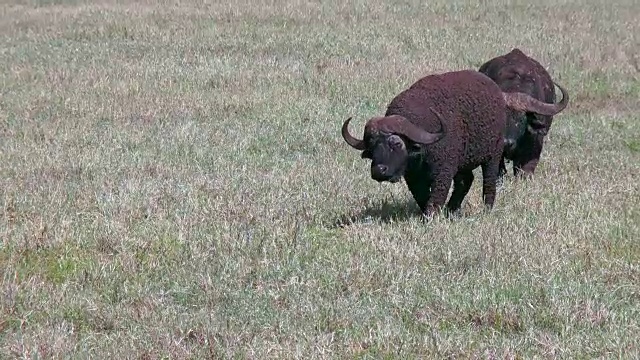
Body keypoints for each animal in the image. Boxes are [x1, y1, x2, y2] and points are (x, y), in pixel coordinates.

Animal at [342, 69, 568, 218]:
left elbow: (437, 195)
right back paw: (453, 208)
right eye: (372, 147)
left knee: (488, 181)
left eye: (395, 143)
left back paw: (486, 208)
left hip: (493, 156)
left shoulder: (444, 169)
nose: (378, 170)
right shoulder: (413, 176)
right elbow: (422, 196)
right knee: (465, 181)